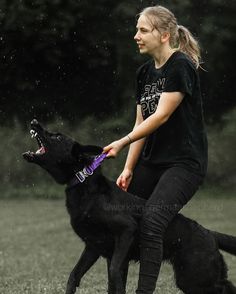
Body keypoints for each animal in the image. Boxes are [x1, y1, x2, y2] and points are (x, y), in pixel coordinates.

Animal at [22, 119, 236, 294]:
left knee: (225, 287)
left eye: (57, 136)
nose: (34, 121)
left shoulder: (126, 230)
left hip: (194, 276)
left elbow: (114, 270)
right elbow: (74, 275)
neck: (82, 181)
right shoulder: (93, 246)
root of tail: (209, 233)